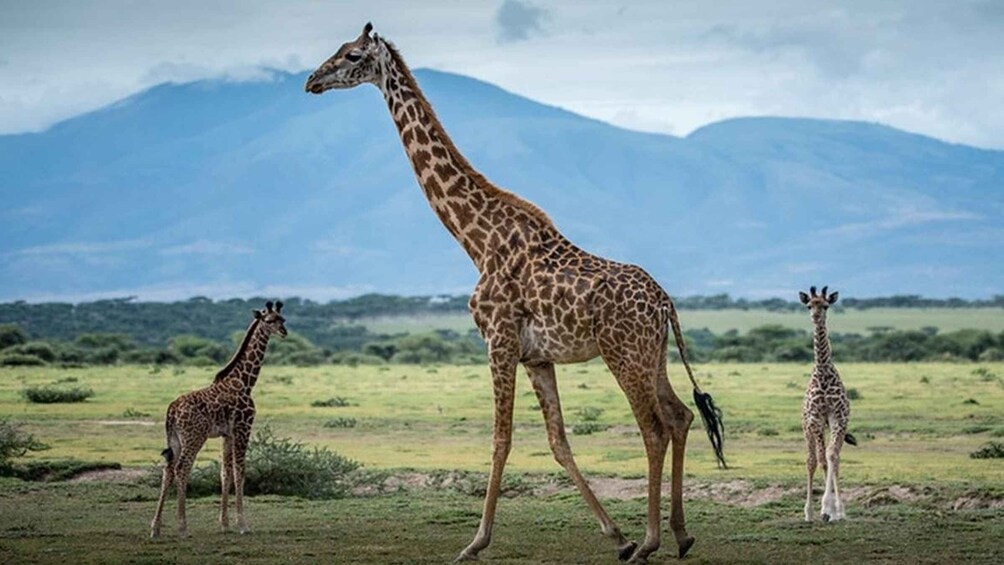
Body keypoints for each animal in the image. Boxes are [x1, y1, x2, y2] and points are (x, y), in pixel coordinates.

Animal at [150, 301, 289, 537]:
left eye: (283, 319)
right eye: (269, 320)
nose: (284, 332)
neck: (245, 381)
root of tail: (171, 411)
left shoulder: (228, 434)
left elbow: (226, 473)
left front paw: (224, 524)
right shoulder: (243, 427)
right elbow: (240, 472)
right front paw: (242, 524)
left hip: (175, 439)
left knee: (167, 470)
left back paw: (155, 528)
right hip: (194, 437)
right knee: (181, 469)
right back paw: (183, 527)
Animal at [301, 23, 726, 565]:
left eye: (352, 55)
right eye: (335, 51)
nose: (312, 81)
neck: (476, 240)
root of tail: (665, 302)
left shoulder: (497, 341)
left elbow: (500, 439)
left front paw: (474, 542)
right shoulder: (536, 356)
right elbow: (557, 440)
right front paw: (616, 535)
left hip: (623, 354)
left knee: (652, 427)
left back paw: (651, 541)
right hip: (654, 355)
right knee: (680, 416)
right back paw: (679, 534)